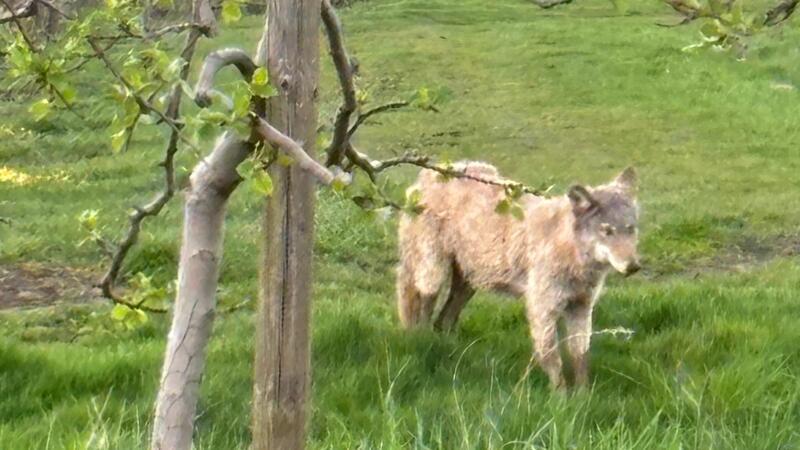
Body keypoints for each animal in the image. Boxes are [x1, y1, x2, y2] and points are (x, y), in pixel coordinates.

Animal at [396, 163, 640, 388]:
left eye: (630, 229)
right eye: (607, 231)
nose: (633, 266)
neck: (570, 251)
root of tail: (427, 174)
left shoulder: (581, 307)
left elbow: (580, 357)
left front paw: (582, 396)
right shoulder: (542, 309)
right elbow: (553, 358)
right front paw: (560, 399)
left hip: (469, 284)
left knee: (443, 321)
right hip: (433, 275)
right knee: (423, 313)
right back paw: (424, 343)